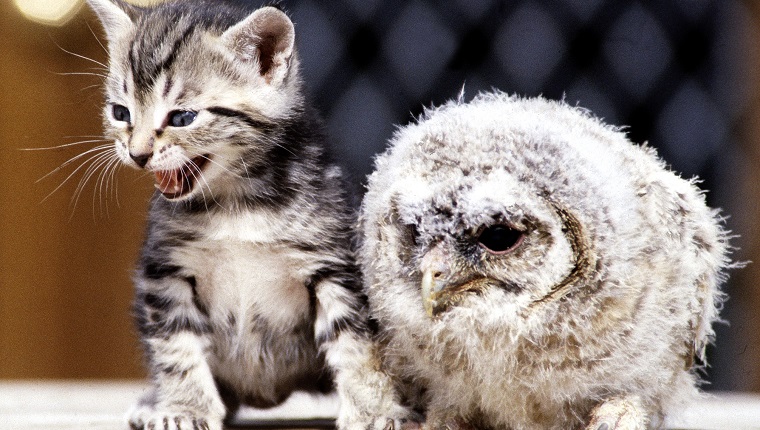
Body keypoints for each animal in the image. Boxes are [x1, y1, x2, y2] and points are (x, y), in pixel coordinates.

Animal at [87, 0, 412, 428]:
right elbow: (176, 346)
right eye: (121, 113)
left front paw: (374, 409)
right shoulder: (165, 271)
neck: (237, 200)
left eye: (182, 118)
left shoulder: (336, 264)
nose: (137, 154)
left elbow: (357, 343)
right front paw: (185, 407)